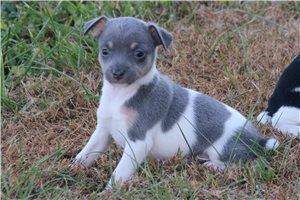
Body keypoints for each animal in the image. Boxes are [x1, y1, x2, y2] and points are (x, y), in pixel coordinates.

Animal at [74, 16, 280, 189]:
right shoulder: (103, 132)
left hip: (222, 149)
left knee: (235, 165)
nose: (117, 73)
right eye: (105, 51)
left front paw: (108, 192)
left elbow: (119, 174)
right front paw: (71, 169)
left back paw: (212, 166)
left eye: (139, 54)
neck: (121, 94)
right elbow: (85, 153)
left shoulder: (137, 142)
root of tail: (258, 139)